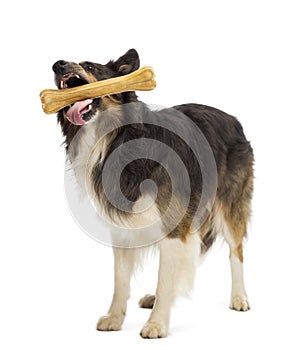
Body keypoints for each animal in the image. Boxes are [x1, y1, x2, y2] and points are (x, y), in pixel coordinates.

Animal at [51, 47, 254, 338]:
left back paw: (239, 297)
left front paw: (157, 323)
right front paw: (115, 318)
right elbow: (121, 279)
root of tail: (233, 119)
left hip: (230, 205)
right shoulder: (123, 230)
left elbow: (165, 277)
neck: (115, 138)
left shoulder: (174, 225)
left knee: (236, 252)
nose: (57, 64)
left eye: (90, 66)